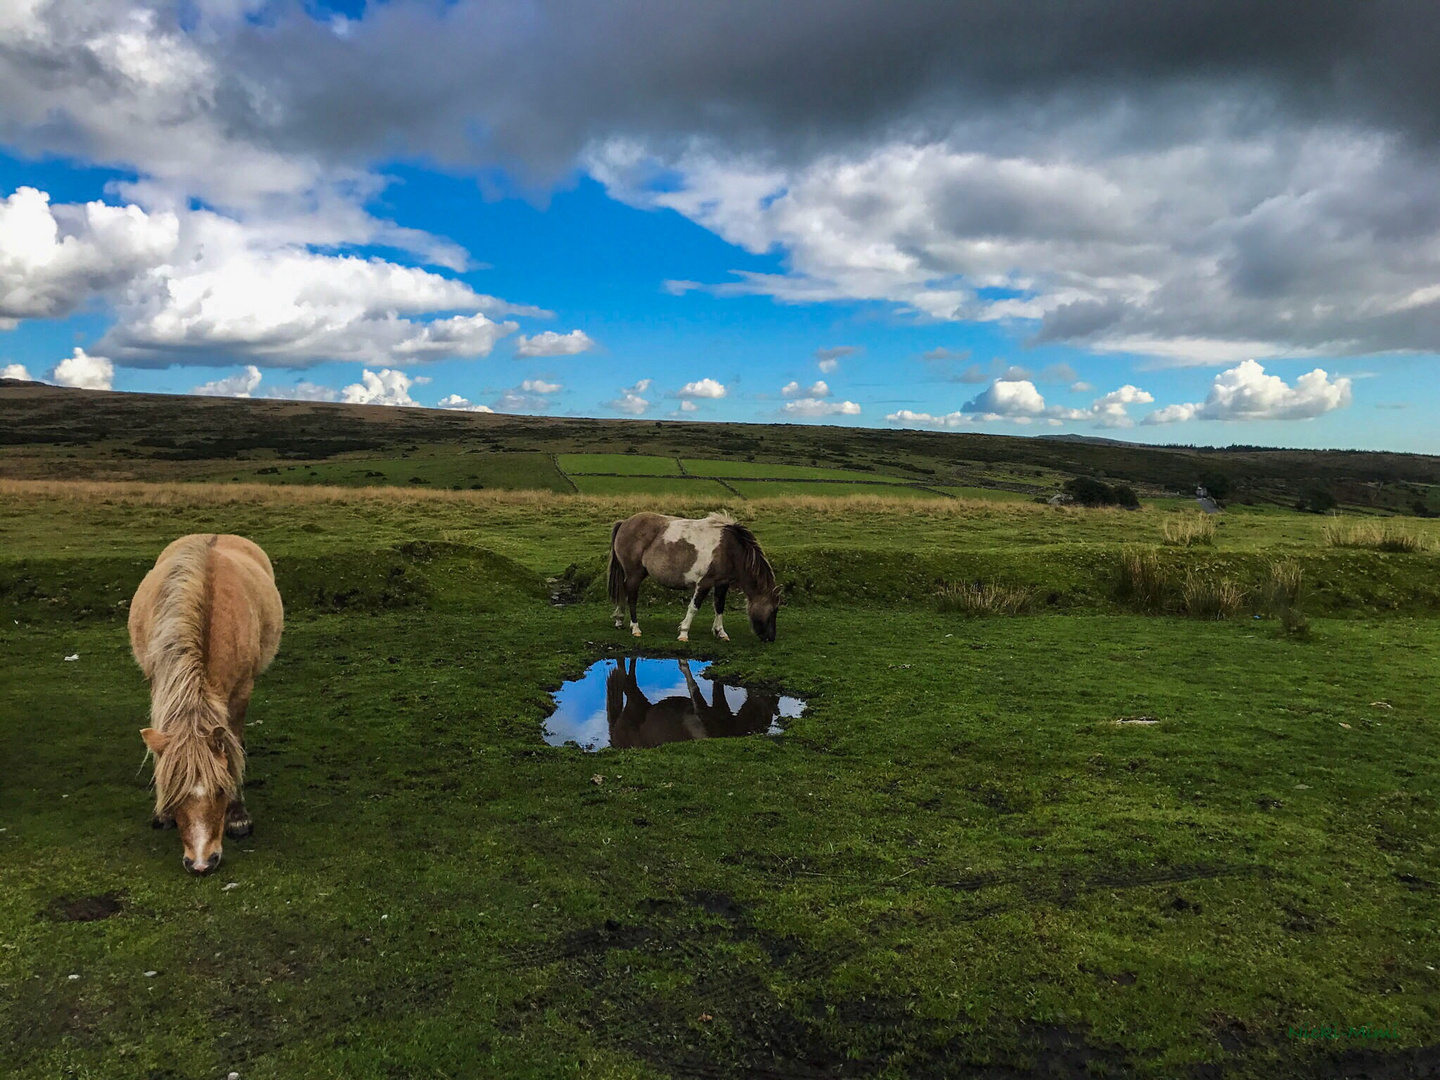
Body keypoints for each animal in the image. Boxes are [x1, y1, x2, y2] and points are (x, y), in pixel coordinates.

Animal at [128, 538, 282, 875]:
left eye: (221, 791)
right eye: (175, 793)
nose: (201, 863)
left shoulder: (242, 691)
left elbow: (234, 746)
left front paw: (238, 817)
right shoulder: (157, 681)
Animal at [610, 509, 783, 642]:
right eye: (774, 610)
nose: (771, 638)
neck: (730, 550)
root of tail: (624, 523)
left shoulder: (722, 583)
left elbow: (719, 606)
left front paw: (721, 632)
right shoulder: (704, 583)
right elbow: (694, 606)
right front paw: (684, 633)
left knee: (624, 591)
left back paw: (619, 620)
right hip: (635, 574)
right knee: (632, 597)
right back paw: (635, 628)